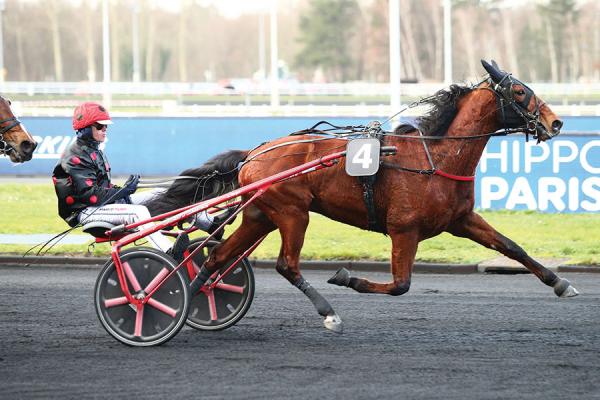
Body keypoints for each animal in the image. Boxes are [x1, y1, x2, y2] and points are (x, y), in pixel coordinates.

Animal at [145, 60, 576, 334]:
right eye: (519, 90)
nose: (555, 122)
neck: (435, 158)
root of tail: (255, 152)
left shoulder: (461, 220)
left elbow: (511, 247)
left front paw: (560, 283)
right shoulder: (404, 229)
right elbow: (400, 285)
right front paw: (346, 276)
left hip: (261, 216)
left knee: (218, 256)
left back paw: (186, 297)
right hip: (293, 214)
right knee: (286, 265)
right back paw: (328, 313)